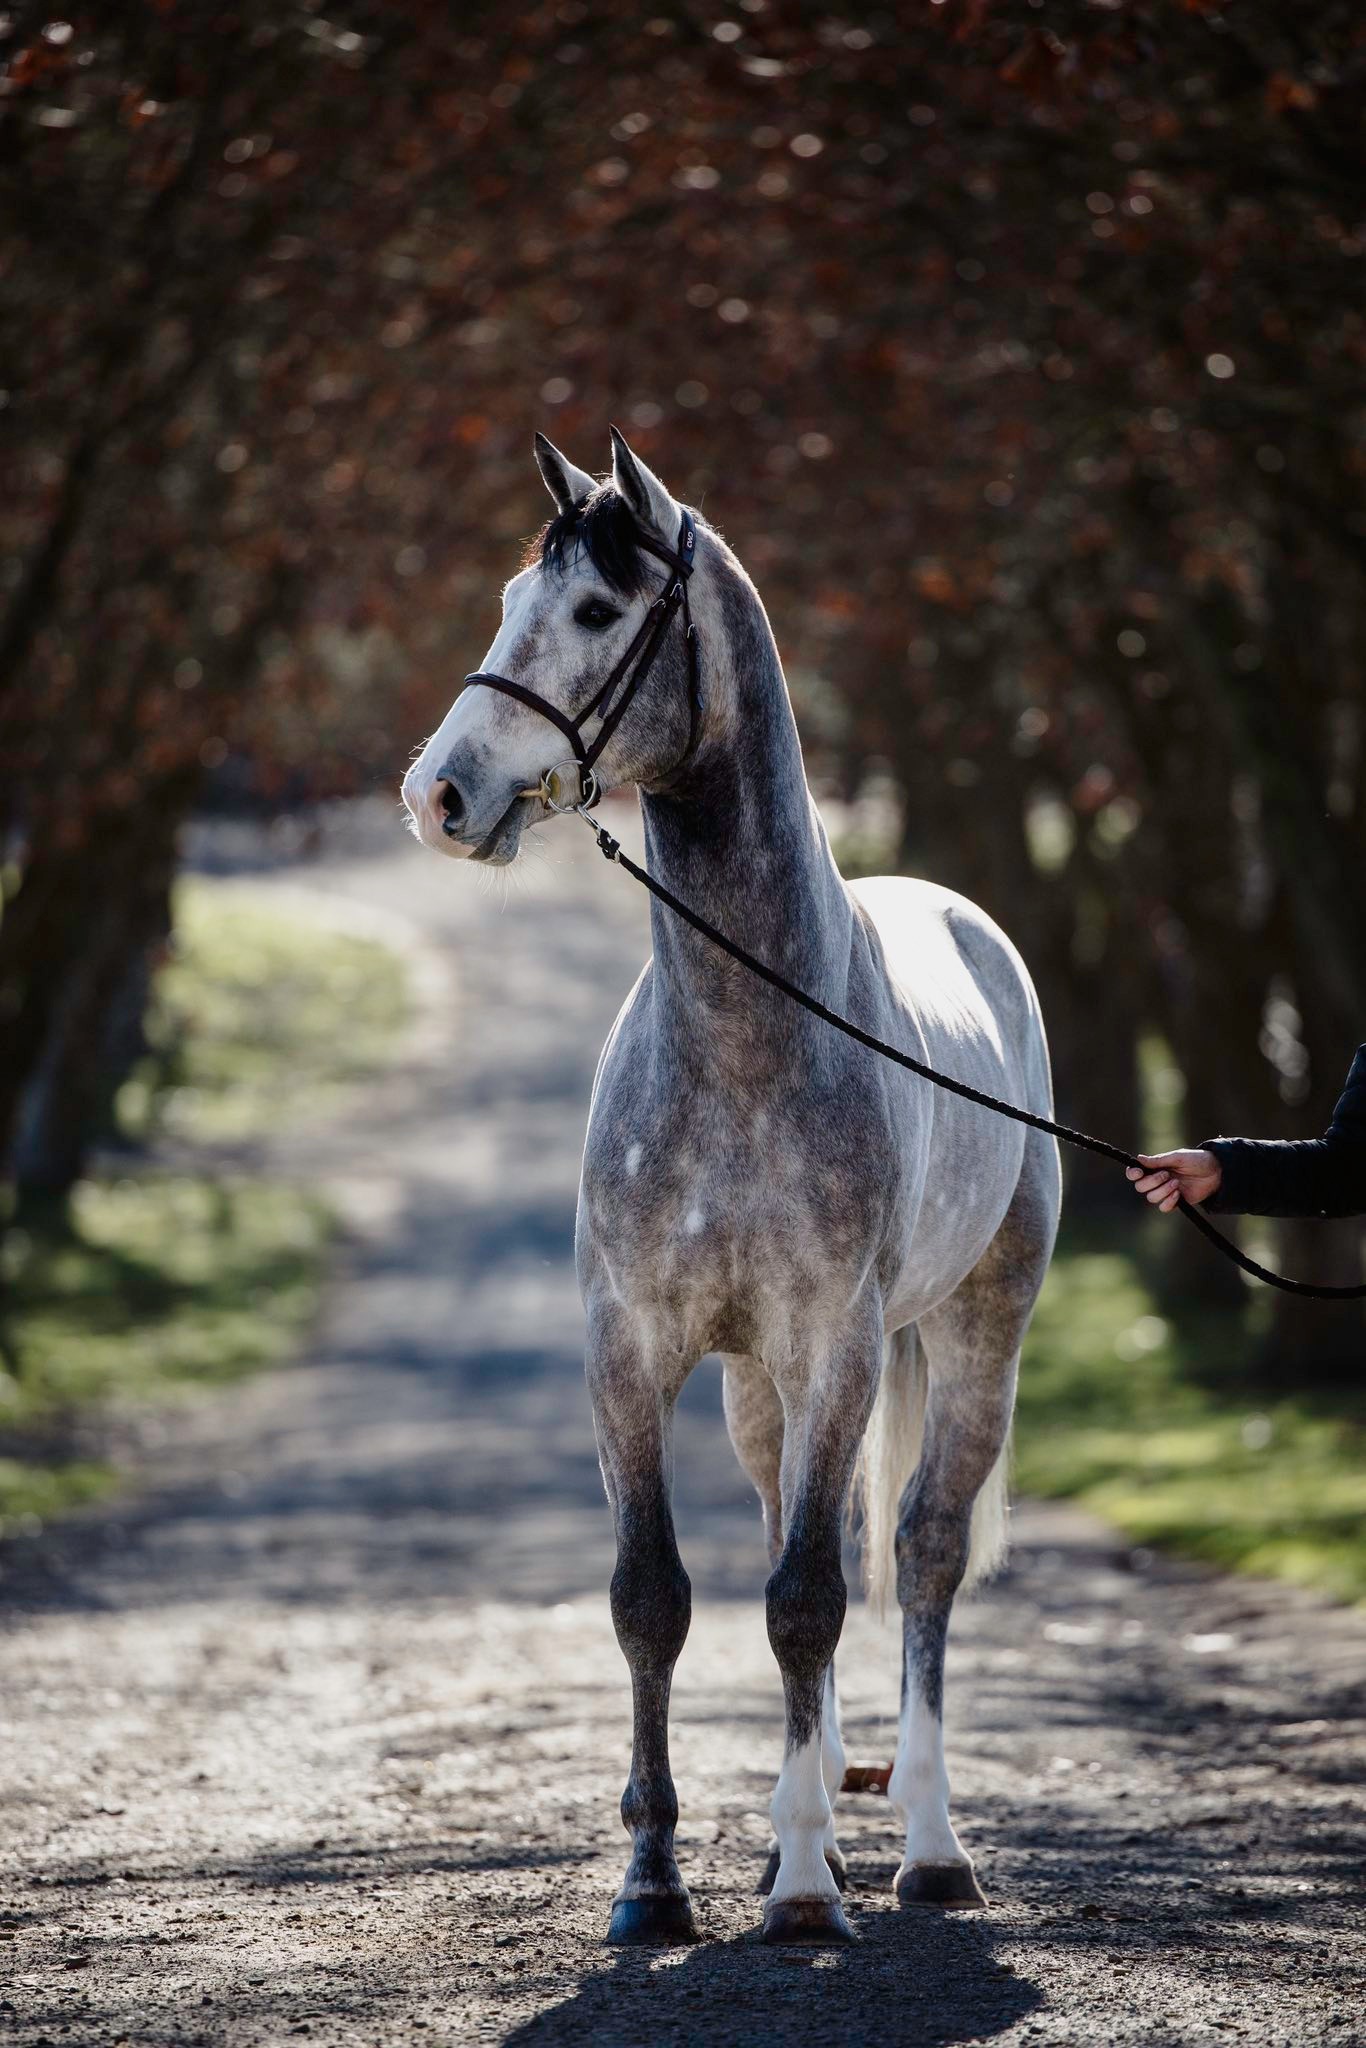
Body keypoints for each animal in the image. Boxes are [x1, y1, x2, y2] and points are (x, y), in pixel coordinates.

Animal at [401, 429, 1061, 1946]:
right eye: (507, 603)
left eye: (595, 610)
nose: (440, 796)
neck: (742, 1039)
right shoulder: (629, 1349)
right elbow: (658, 1598)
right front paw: (655, 1886)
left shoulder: (837, 1349)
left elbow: (811, 1599)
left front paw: (810, 1887)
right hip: (760, 1386)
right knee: (779, 1534)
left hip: (970, 1334)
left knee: (921, 1552)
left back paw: (922, 1848)